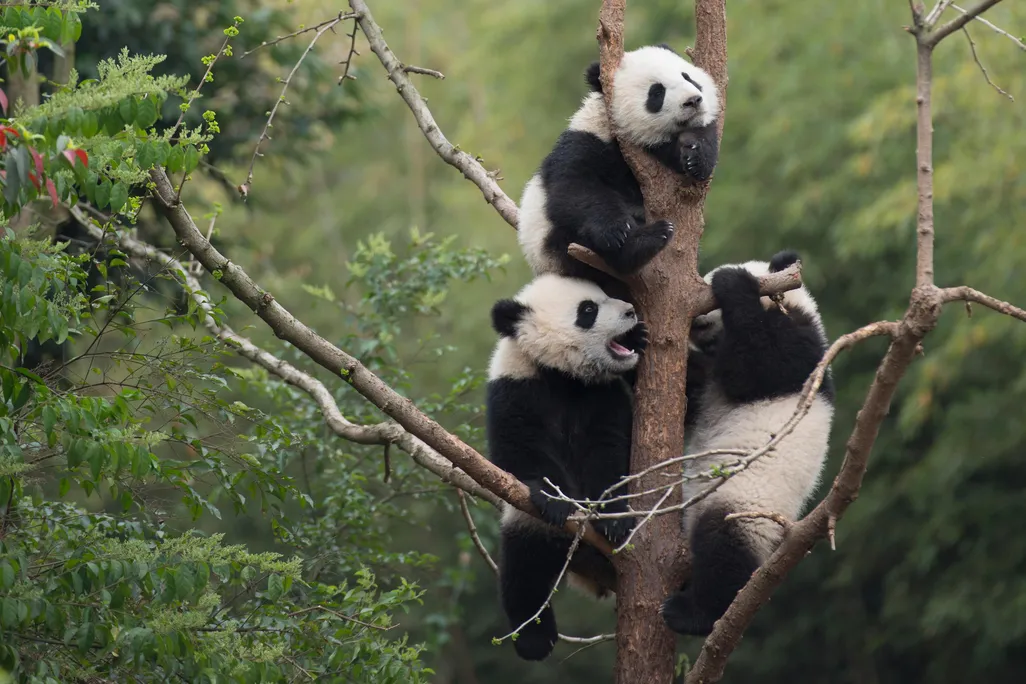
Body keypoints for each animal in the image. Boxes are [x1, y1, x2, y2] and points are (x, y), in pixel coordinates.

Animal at [486, 273, 649, 661]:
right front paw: (559, 501)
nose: (631, 310)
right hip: (527, 523)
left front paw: (613, 519)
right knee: (523, 569)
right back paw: (534, 639)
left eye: (606, 294)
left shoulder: (601, 393)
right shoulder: (515, 386)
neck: (562, 374)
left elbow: (608, 449)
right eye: (587, 311)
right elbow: (520, 450)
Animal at [517, 43, 720, 292]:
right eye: (656, 92)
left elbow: (699, 141)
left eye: (687, 76)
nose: (693, 100)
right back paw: (647, 239)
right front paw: (617, 230)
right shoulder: (588, 141)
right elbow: (575, 187)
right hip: (553, 244)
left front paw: (696, 156)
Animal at [661, 250, 834, 637]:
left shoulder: (805, 353)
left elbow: (758, 366)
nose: (696, 324)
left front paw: (733, 282)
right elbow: (692, 395)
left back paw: (694, 614)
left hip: (746, 504)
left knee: (723, 546)